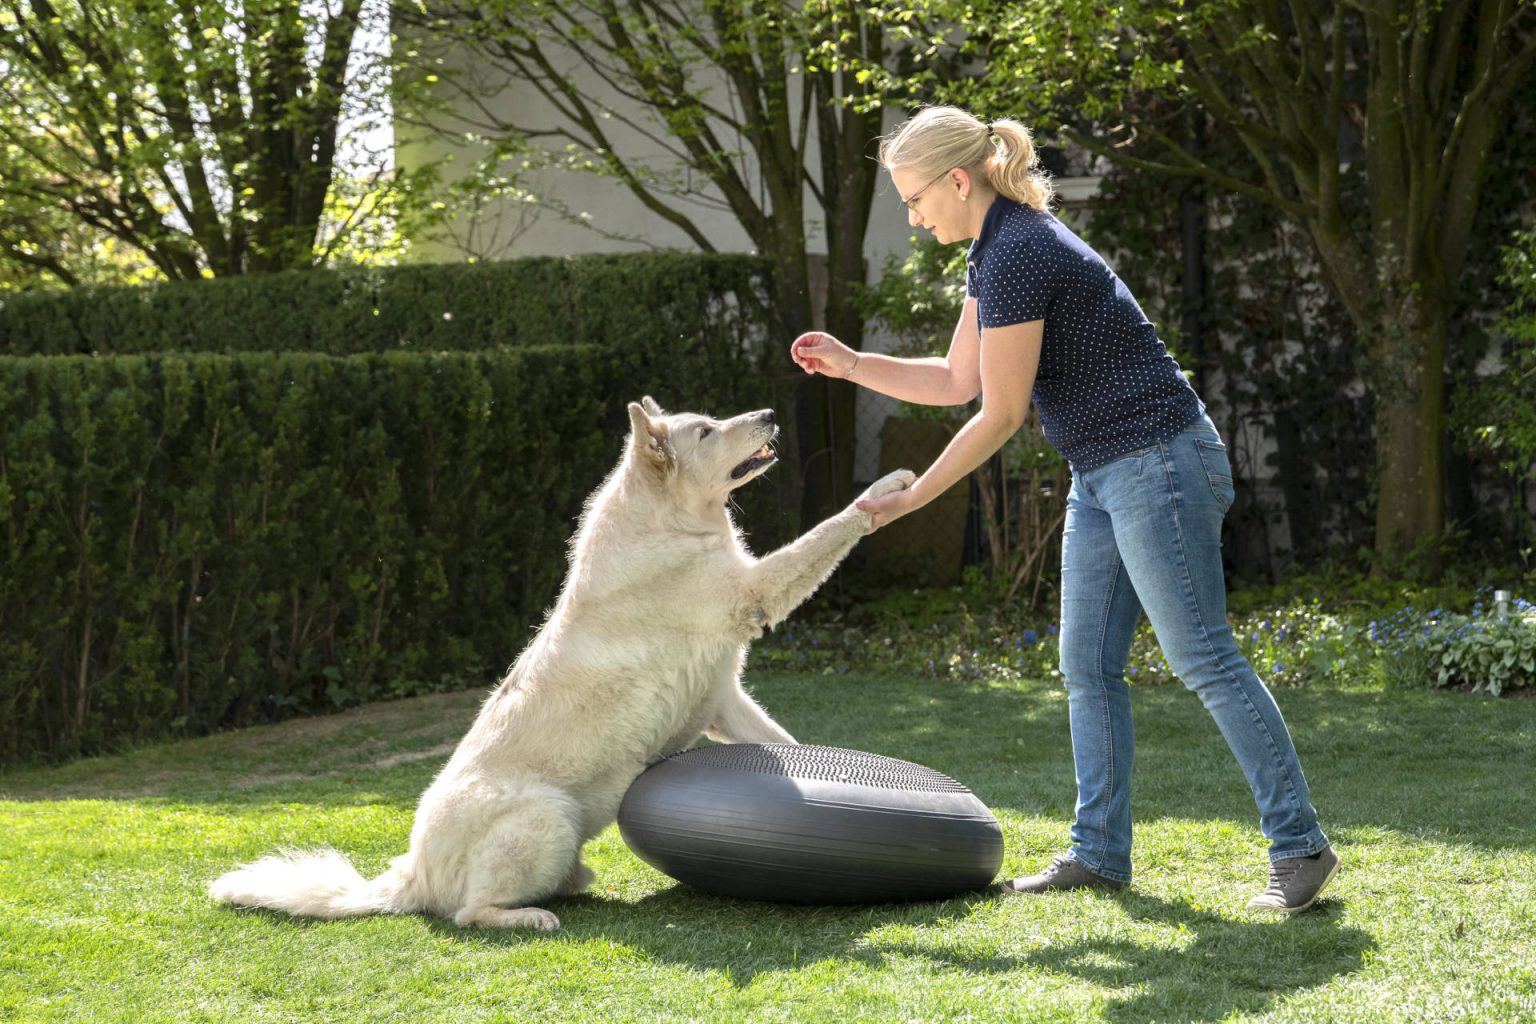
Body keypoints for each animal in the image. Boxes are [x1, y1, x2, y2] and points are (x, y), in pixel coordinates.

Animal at [205, 396, 909, 933]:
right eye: (707, 430)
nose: (766, 414)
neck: (669, 527)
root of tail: (408, 874)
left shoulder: (725, 699)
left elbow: (785, 739)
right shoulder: (755, 593)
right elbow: (830, 530)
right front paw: (886, 490)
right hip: (547, 817)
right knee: (469, 913)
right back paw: (528, 916)